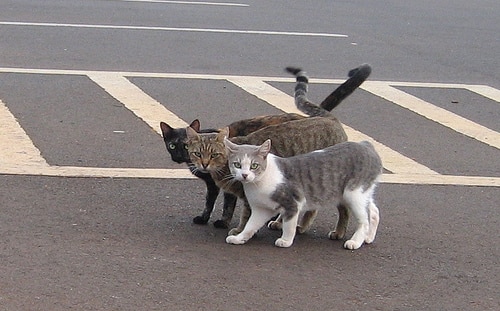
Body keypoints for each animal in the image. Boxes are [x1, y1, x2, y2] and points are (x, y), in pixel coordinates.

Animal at [164, 63, 372, 229]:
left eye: (185, 146)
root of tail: (329, 118)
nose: (179, 156)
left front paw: (224, 224)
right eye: (173, 146)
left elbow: (227, 206)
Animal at [223, 138, 382, 250]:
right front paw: (239, 238)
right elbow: (250, 226)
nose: (244, 175)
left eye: (254, 166)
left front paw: (286, 240)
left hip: (354, 194)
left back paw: (356, 241)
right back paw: (369, 237)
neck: (258, 184)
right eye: (237, 164)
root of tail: (366, 144)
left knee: (364, 220)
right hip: (361, 194)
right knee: (374, 211)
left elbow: (289, 225)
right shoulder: (261, 210)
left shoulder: (293, 203)